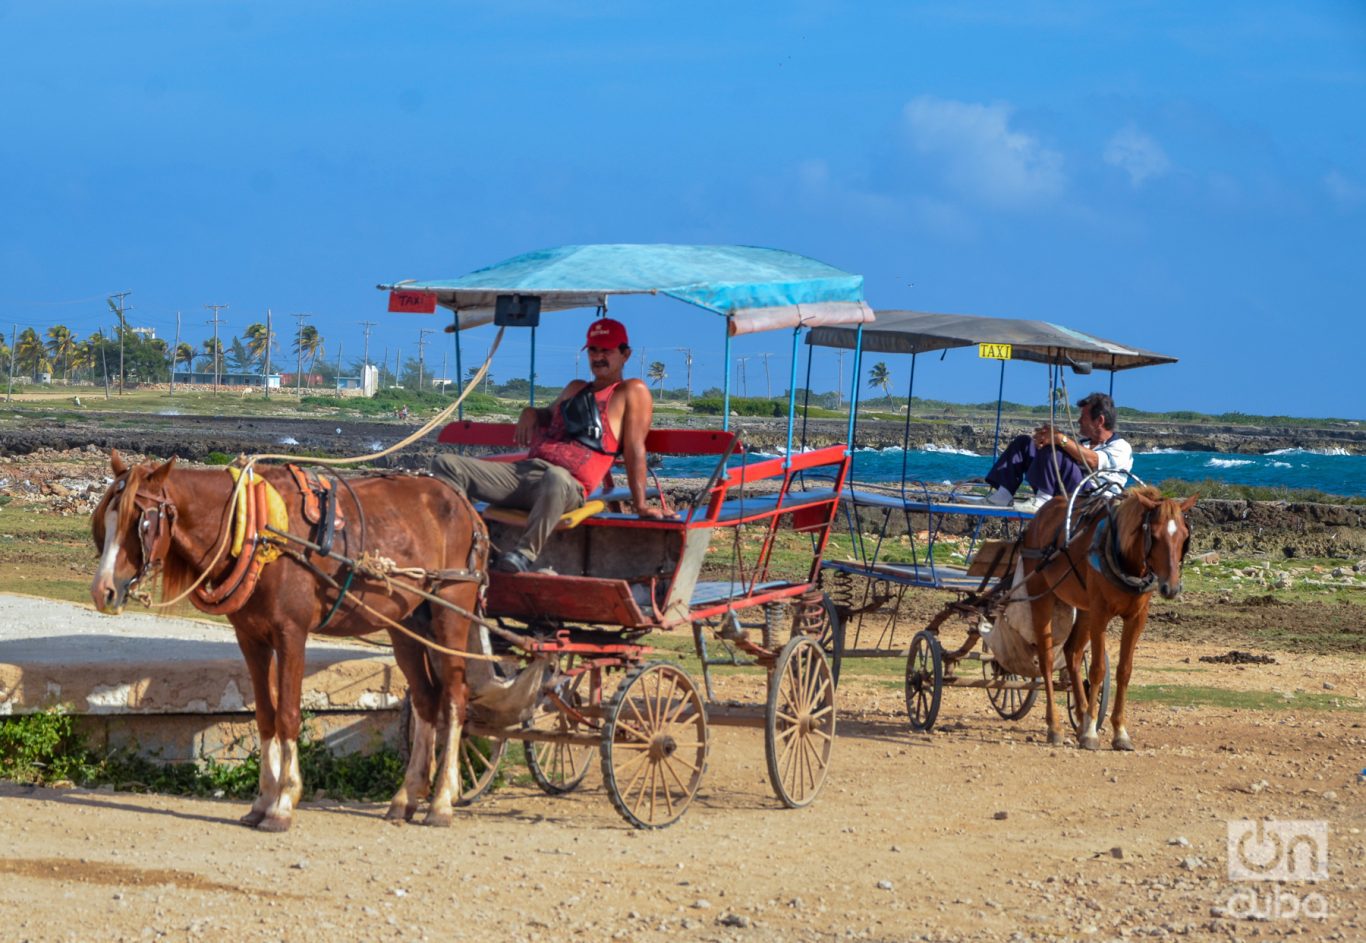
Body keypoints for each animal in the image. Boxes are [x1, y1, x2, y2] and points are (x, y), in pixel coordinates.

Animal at [90, 451, 489, 825]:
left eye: (139, 522)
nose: (102, 590)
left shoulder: (291, 634)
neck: (255, 529)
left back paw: (442, 801)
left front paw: (283, 803)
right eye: (105, 521)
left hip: (452, 611)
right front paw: (263, 800)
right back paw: (407, 797)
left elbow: (288, 714)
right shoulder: (251, 638)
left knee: (455, 697)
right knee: (426, 698)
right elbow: (265, 716)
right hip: (405, 623)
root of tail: (464, 504)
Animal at [1021, 489, 1191, 743]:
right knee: (1046, 660)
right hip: (1041, 595)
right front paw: (1091, 731)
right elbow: (1097, 669)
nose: (1171, 588)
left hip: (1084, 608)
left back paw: (1080, 716)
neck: (1124, 559)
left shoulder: (1136, 618)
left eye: (1184, 536)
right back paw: (1055, 726)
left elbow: (1125, 670)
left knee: (1072, 653)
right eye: (1154, 535)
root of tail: (1041, 514)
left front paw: (1119, 731)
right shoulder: (1100, 613)